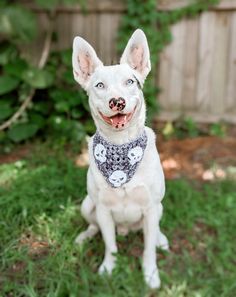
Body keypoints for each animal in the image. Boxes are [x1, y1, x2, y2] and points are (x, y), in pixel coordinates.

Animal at [72, 28, 168, 288]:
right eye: (100, 85)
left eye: (130, 81)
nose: (117, 101)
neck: (120, 146)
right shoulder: (104, 210)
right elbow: (110, 245)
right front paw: (108, 267)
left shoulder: (150, 208)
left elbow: (148, 249)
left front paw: (151, 274)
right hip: (87, 204)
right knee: (94, 225)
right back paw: (85, 235)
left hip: (159, 208)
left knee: (154, 232)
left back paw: (160, 239)